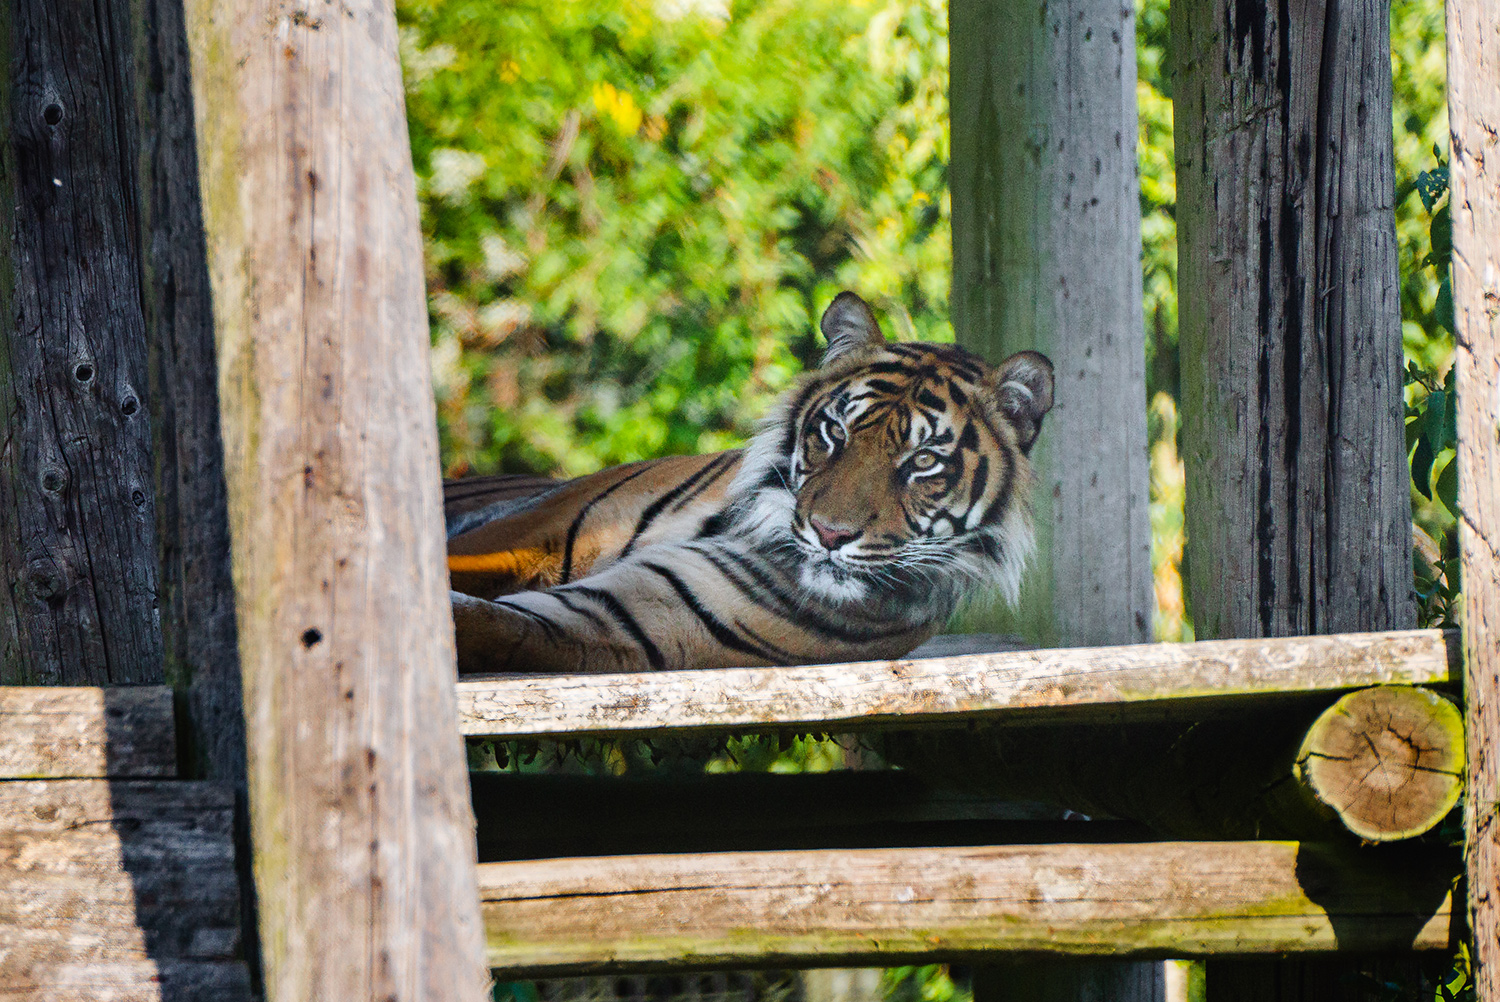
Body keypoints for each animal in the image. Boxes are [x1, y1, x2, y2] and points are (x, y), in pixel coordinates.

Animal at [446, 291, 1054, 674]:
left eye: (923, 461)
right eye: (835, 432)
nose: (830, 535)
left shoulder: (618, 617)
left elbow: (489, 625)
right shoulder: (531, 534)